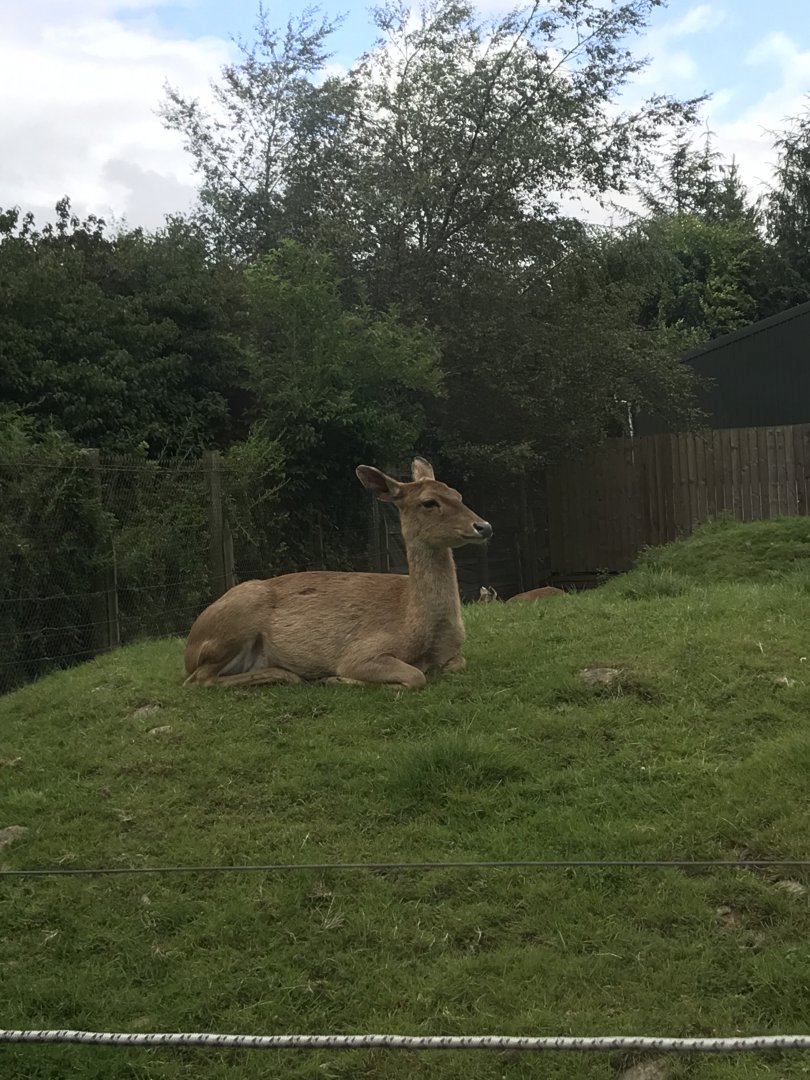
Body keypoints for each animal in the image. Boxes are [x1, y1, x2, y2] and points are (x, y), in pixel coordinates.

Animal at [183, 458, 492, 691]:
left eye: (458, 495)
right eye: (429, 502)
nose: (484, 526)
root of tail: (189, 648)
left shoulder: (452, 654)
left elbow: (457, 663)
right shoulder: (361, 652)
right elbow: (415, 676)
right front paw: (336, 678)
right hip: (237, 618)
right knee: (198, 679)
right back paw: (289, 674)